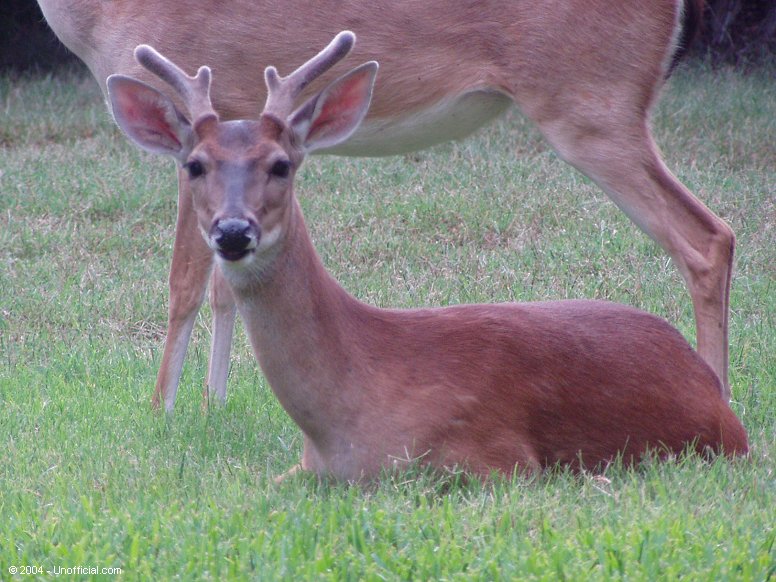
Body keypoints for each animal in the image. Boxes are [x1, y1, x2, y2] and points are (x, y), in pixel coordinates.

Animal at [38, 0, 740, 412]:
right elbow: (219, 287)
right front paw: (215, 407)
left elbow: (182, 283)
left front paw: (162, 412)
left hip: (590, 102)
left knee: (708, 236)